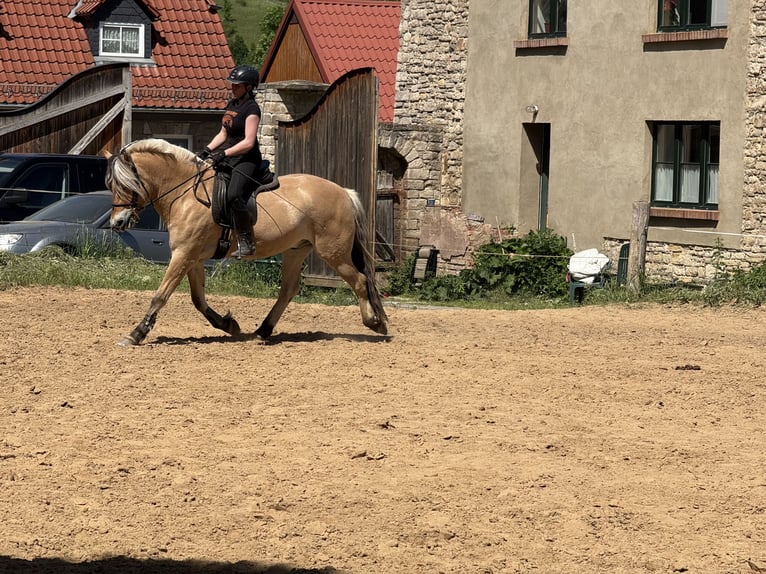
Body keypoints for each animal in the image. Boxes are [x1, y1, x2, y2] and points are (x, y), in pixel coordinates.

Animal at [105, 138, 388, 346]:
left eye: (127, 184)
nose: (117, 222)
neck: (184, 194)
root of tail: (344, 192)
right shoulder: (193, 257)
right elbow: (198, 299)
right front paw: (229, 325)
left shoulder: (183, 254)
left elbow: (160, 296)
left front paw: (136, 333)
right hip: (296, 251)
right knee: (289, 289)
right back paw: (262, 330)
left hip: (333, 253)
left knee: (360, 281)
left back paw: (374, 323)